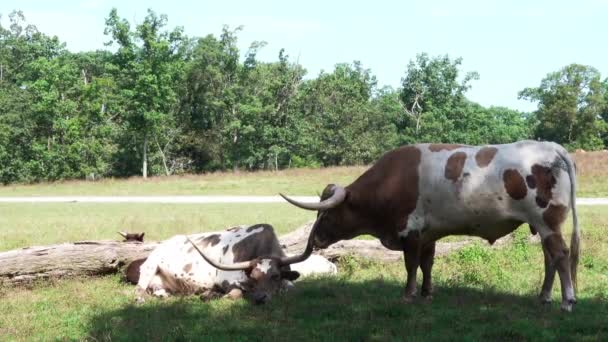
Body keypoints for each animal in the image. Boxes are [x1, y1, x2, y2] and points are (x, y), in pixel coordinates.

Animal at [134, 224, 318, 304]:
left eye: (275, 276)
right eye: (253, 276)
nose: (260, 298)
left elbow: (292, 289)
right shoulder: (226, 279)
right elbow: (235, 293)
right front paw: (211, 295)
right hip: (150, 266)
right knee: (139, 289)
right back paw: (140, 299)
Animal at [282, 140, 580, 312]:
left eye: (327, 215)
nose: (317, 239)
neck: (391, 180)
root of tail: (553, 147)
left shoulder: (411, 231)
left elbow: (411, 265)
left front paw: (409, 294)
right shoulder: (429, 233)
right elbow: (427, 264)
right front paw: (427, 293)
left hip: (547, 221)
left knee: (561, 255)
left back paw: (567, 301)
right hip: (542, 226)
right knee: (549, 259)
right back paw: (544, 296)